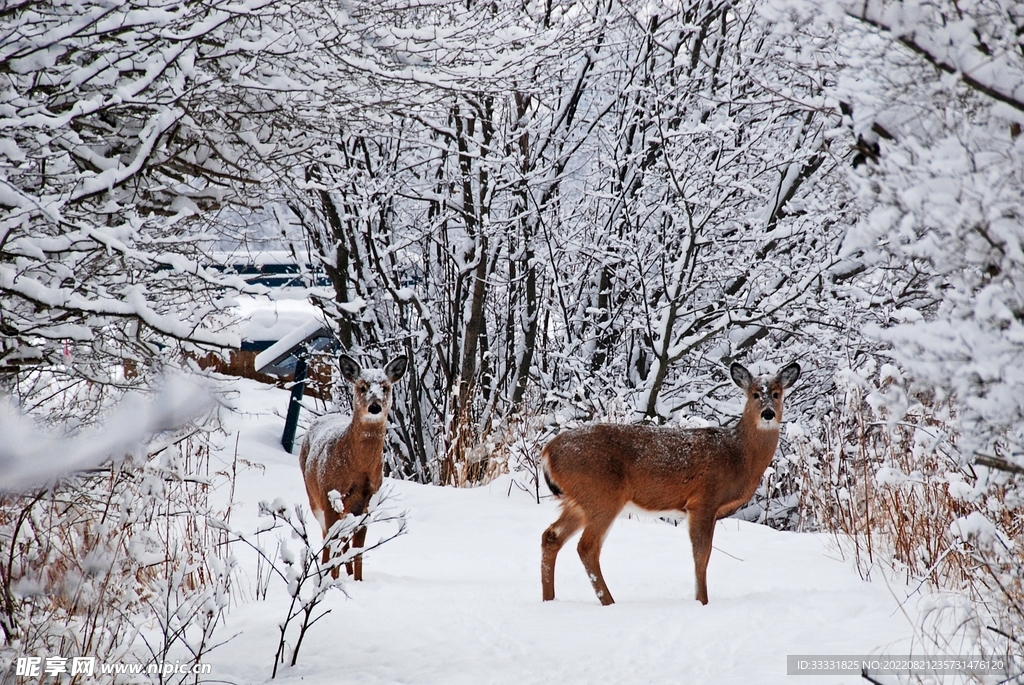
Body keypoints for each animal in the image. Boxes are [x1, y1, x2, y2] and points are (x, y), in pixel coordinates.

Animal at [299, 353, 408, 580]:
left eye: (385, 387)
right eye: (362, 387)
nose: (374, 407)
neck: (357, 468)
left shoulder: (368, 503)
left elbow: (357, 550)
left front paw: (358, 580)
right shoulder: (329, 496)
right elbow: (332, 545)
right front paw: (331, 581)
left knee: (344, 542)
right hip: (315, 498)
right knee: (328, 539)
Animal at [540, 361, 800, 606]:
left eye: (776, 393)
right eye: (755, 393)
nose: (768, 414)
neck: (738, 455)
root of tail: (548, 452)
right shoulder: (703, 501)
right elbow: (701, 556)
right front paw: (702, 601)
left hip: (579, 500)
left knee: (551, 536)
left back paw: (549, 599)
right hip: (602, 495)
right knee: (587, 547)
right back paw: (609, 602)